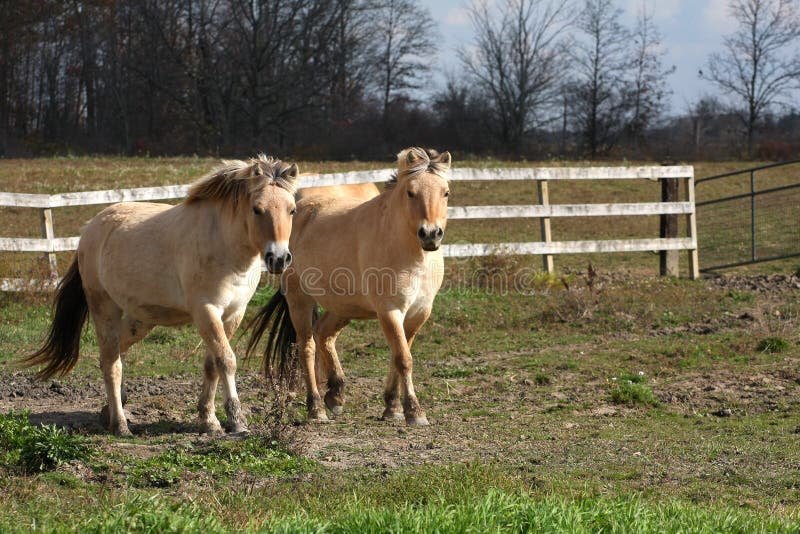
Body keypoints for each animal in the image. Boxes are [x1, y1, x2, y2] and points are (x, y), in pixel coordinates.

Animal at [26, 156, 300, 440]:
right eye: (257, 209)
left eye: (292, 210)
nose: (279, 258)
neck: (224, 245)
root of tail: (90, 229)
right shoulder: (206, 310)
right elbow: (226, 361)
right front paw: (236, 420)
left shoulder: (234, 313)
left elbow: (212, 364)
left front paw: (209, 420)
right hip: (104, 308)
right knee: (112, 364)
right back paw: (121, 425)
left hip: (140, 321)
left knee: (112, 355)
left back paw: (110, 412)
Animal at [247, 149, 454, 430]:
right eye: (411, 193)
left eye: (446, 192)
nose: (431, 234)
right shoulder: (390, 312)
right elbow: (404, 359)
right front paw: (414, 411)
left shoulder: (419, 313)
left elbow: (399, 355)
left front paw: (392, 406)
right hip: (300, 300)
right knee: (307, 346)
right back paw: (316, 408)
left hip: (343, 306)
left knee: (324, 333)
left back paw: (335, 395)